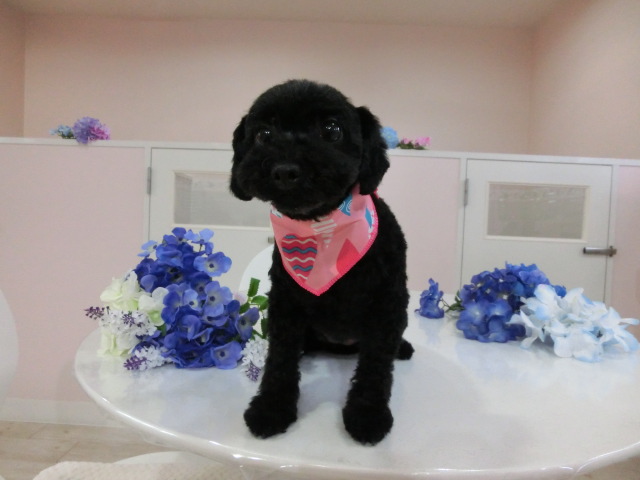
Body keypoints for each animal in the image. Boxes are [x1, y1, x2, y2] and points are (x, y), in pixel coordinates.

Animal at [230, 79, 413, 445]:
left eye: (331, 129)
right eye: (263, 134)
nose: (285, 171)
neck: (321, 230)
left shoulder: (387, 304)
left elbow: (375, 366)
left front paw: (368, 415)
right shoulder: (286, 305)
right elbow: (280, 360)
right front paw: (272, 408)